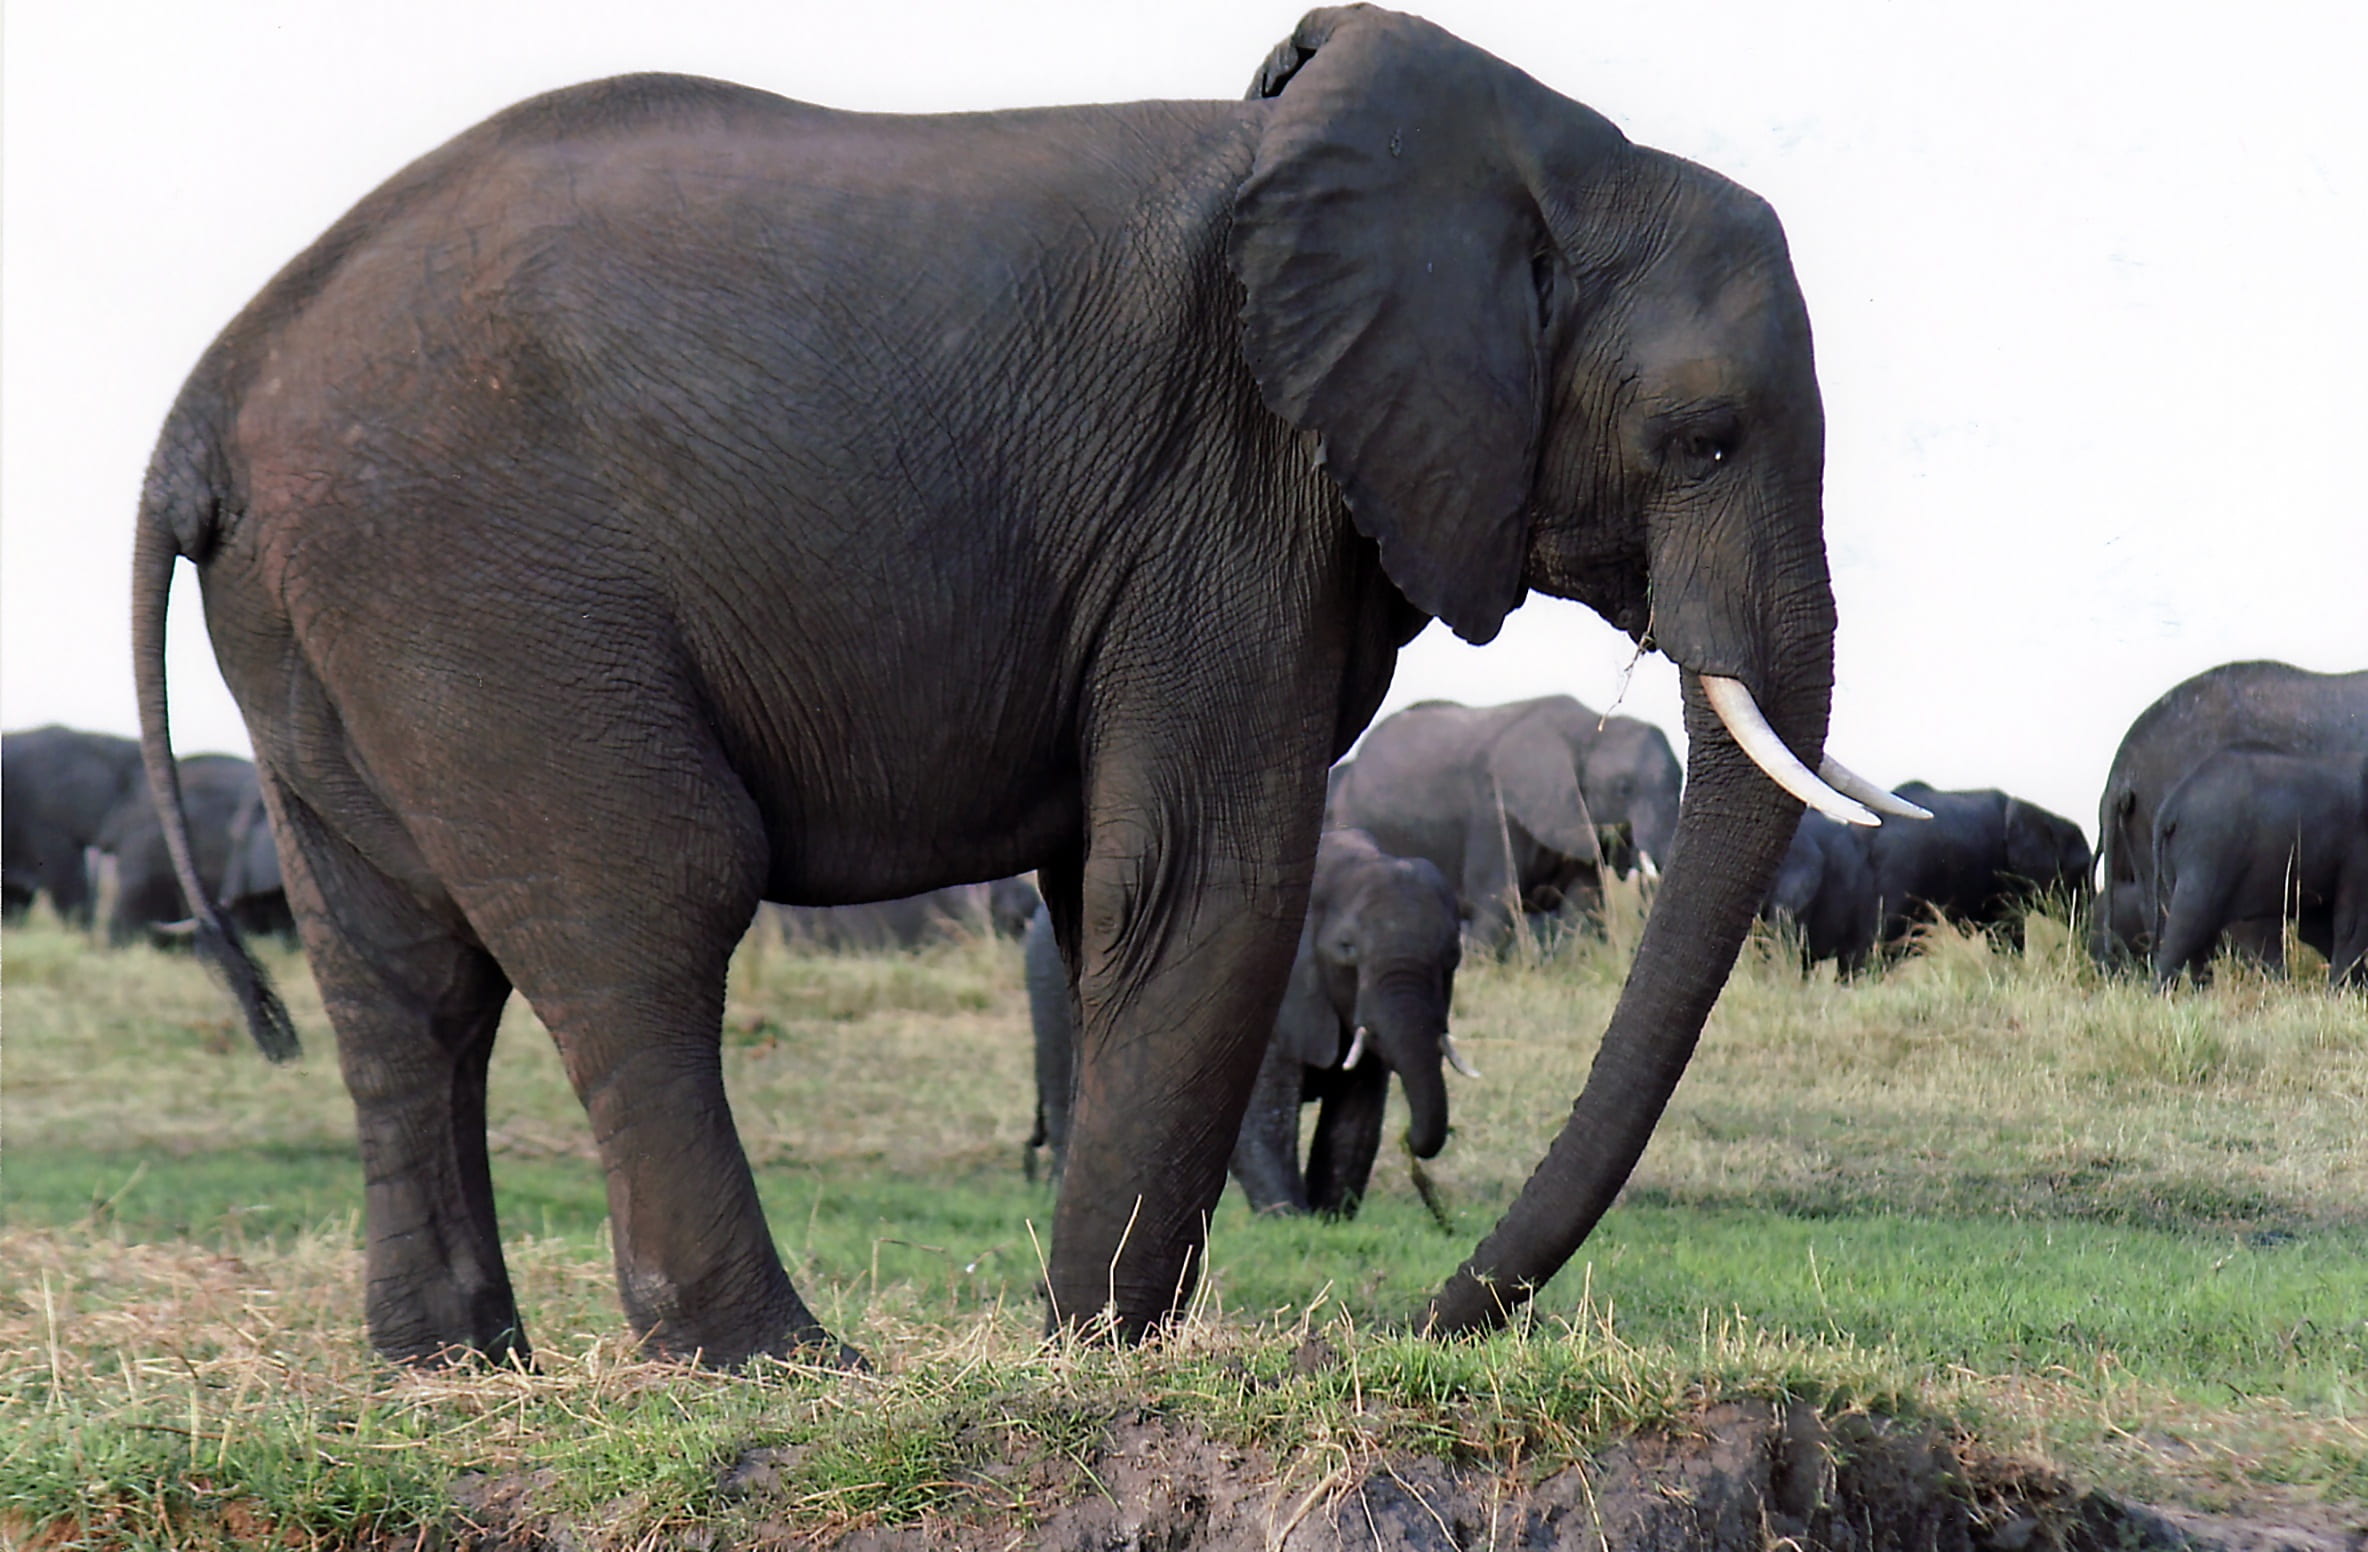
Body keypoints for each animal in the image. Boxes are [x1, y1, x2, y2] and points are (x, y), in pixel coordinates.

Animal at [1029, 828, 1468, 1218]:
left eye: (1453, 955)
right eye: (1347, 949)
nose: (1410, 1142)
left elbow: (1354, 1117)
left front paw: (1329, 1220)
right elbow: (1260, 1115)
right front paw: (1290, 1219)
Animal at [2152, 745, 2368, 987]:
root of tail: (2171, 806)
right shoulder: (2358, 844)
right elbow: (2351, 923)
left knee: (2202, 935)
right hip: (2205, 849)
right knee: (2189, 925)